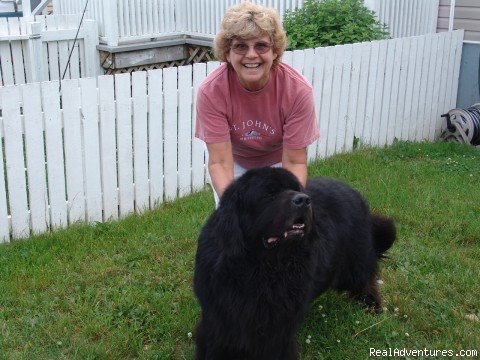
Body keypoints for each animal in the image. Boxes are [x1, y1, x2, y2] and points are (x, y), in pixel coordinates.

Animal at [193, 167, 396, 358]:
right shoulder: (219, 319)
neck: (262, 267)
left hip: (354, 261)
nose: (304, 200)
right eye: (270, 194)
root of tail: (352, 190)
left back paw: (372, 306)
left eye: (295, 189)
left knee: (365, 278)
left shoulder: (276, 329)